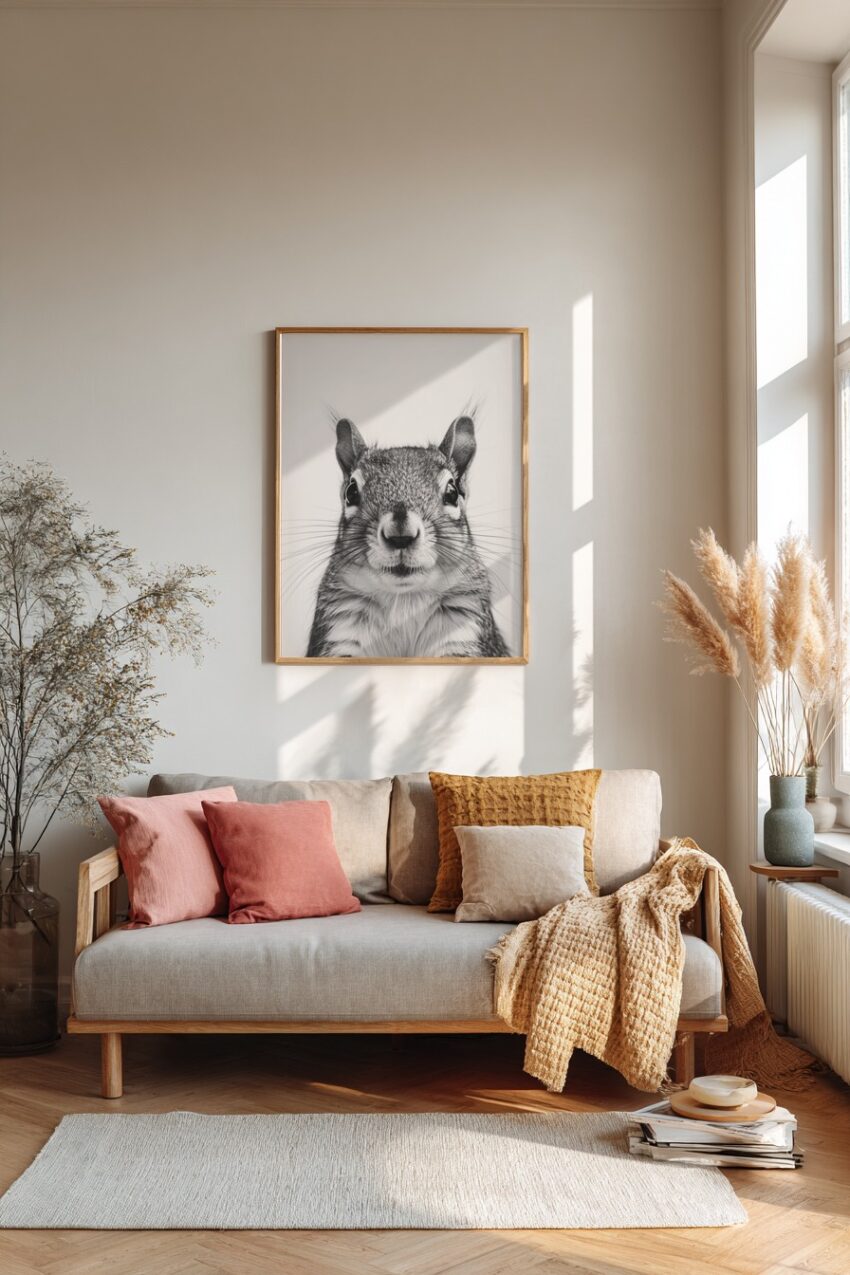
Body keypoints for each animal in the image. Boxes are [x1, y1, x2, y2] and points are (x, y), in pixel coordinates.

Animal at [306, 415, 510, 658]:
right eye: (351, 492)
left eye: (452, 493)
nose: (400, 536)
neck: (404, 600)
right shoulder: (342, 632)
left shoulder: (462, 632)